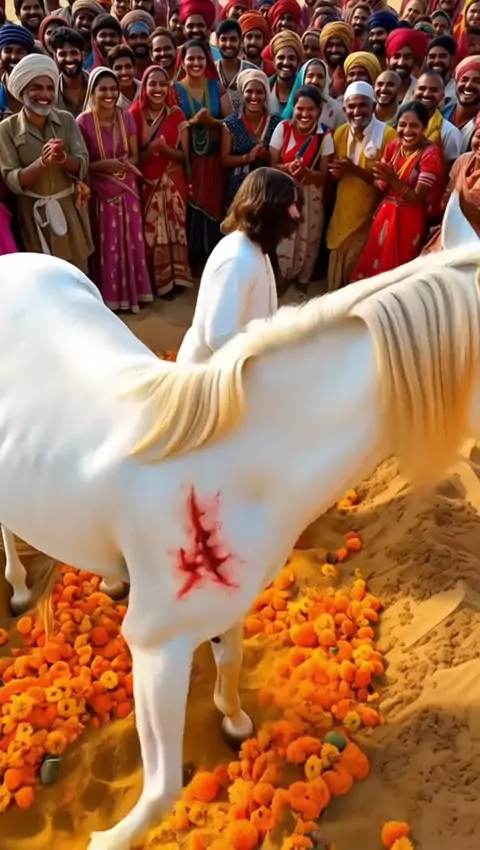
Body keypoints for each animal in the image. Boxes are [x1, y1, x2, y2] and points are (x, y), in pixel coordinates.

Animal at [1, 215, 480, 850]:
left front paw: (233, 720)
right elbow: (162, 791)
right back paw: (17, 589)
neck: (236, 466)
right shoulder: (156, 646)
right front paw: (107, 839)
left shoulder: (233, 599)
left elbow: (229, 661)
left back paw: (108, 581)